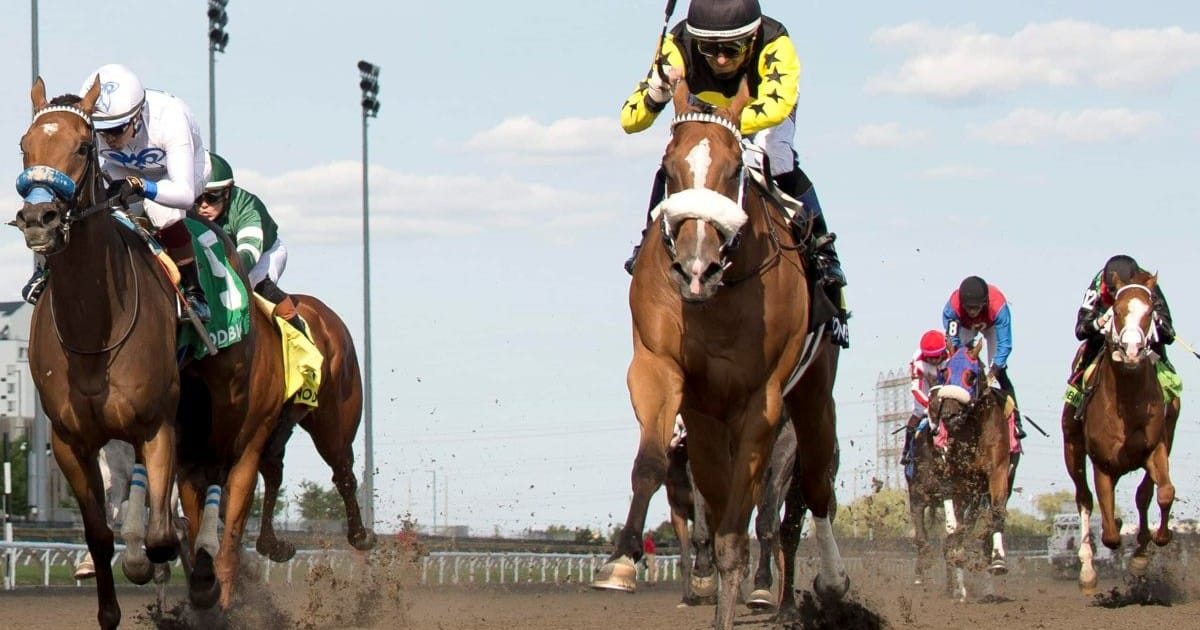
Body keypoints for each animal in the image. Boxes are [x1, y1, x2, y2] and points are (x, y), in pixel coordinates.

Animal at [13, 78, 285, 624]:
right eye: (24, 145)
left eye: (83, 146)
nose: (39, 218)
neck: (94, 330)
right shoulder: (72, 442)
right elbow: (100, 534)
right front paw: (111, 604)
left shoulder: (157, 424)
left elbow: (163, 535)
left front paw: (177, 574)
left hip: (226, 404)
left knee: (217, 477)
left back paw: (206, 576)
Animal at [592, 79, 847, 630]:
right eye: (669, 169)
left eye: (734, 171)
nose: (695, 268)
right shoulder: (659, 369)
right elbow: (652, 465)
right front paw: (621, 561)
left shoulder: (764, 401)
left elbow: (742, 529)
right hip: (709, 422)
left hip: (815, 397)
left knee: (815, 490)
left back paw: (829, 581)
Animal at [926, 342, 1019, 601]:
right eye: (945, 373)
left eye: (972, 375)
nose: (949, 415)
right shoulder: (954, 478)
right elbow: (955, 526)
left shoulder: (996, 473)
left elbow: (995, 513)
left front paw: (998, 561)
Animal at [1061, 270, 1180, 593]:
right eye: (1115, 311)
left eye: (1150, 311)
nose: (1132, 351)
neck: (1127, 403)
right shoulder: (1103, 463)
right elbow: (1110, 534)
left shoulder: (1156, 449)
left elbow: (1164, 493)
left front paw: (1154, 543)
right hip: (1071, 448)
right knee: (1084, 498)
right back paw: (1087, 570)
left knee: (1144, 495)